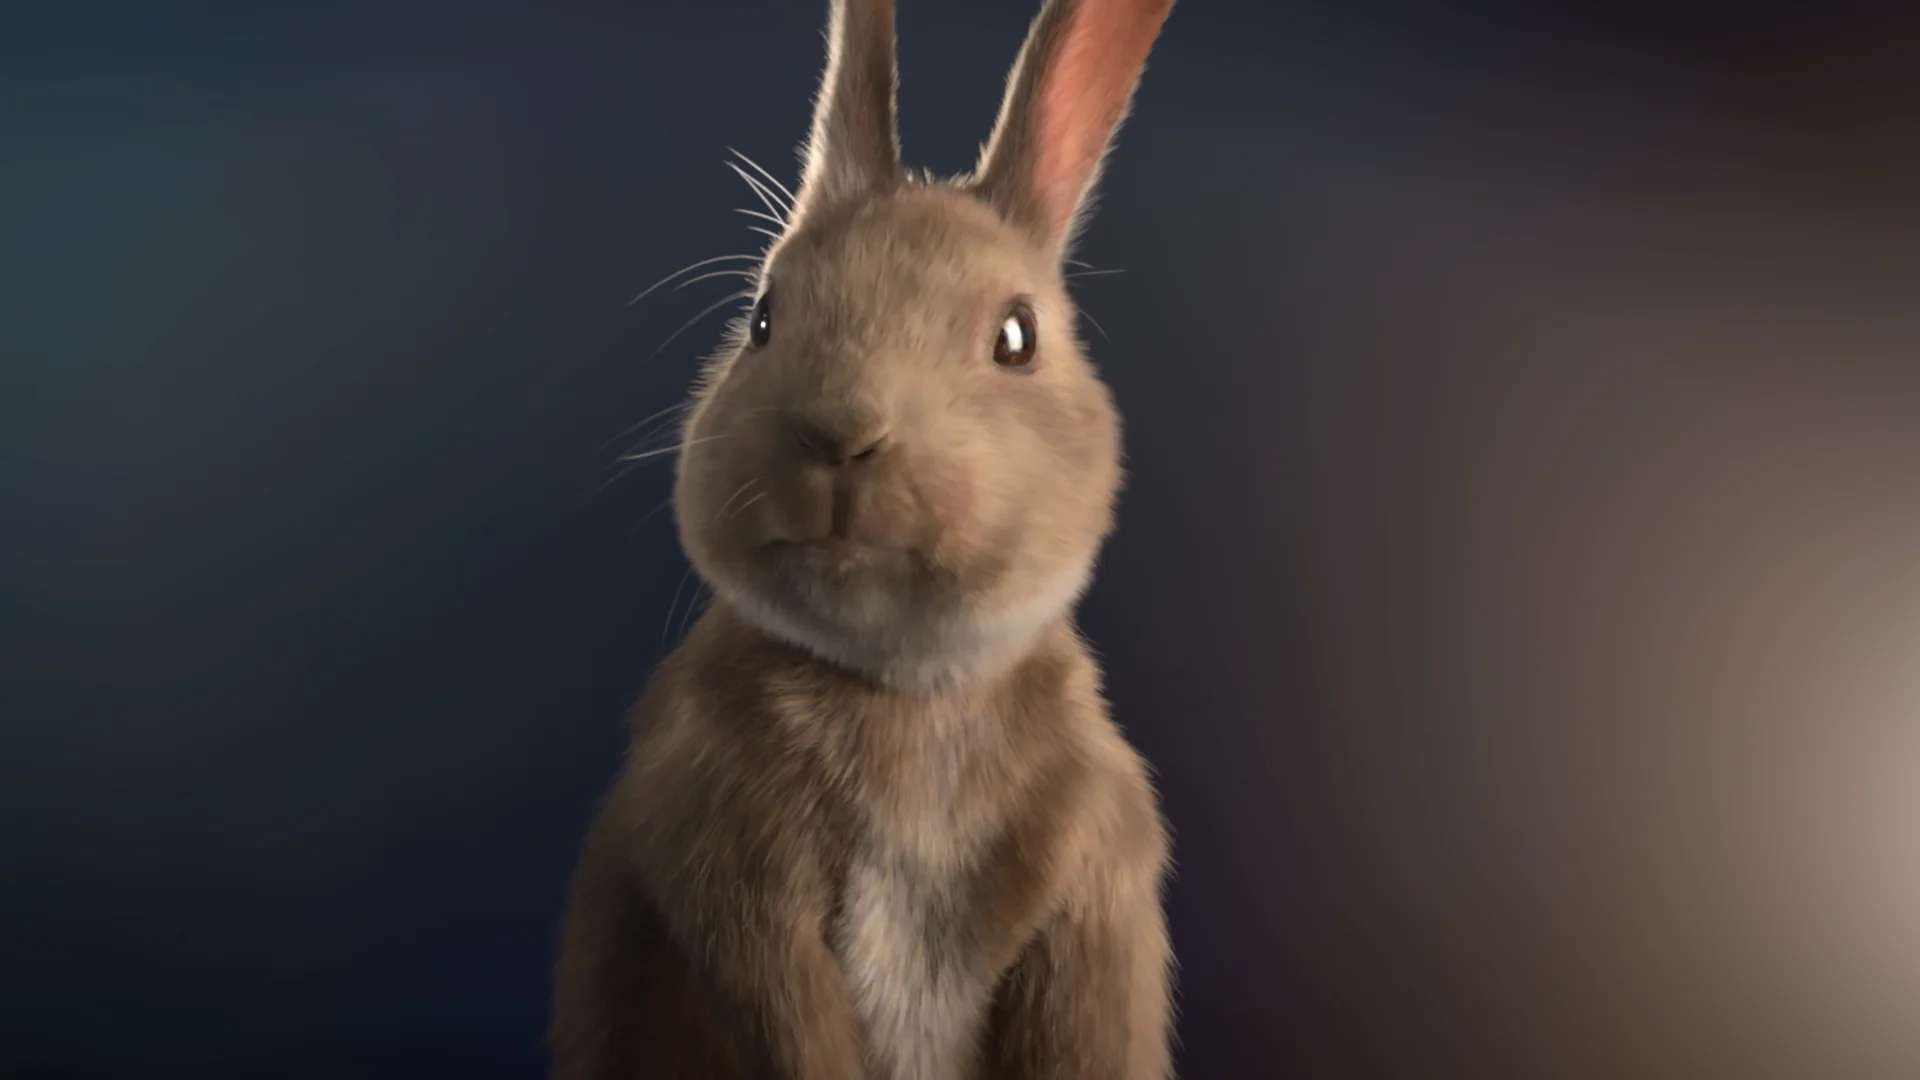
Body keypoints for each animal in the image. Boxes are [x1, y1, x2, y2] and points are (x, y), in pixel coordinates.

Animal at [549, 0, 1178, 1077]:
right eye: (763, 319)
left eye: (1017, 337)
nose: (840, 435)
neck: (906, 690)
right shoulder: (734, 879)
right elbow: (791, 1018)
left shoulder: (1090, 883)